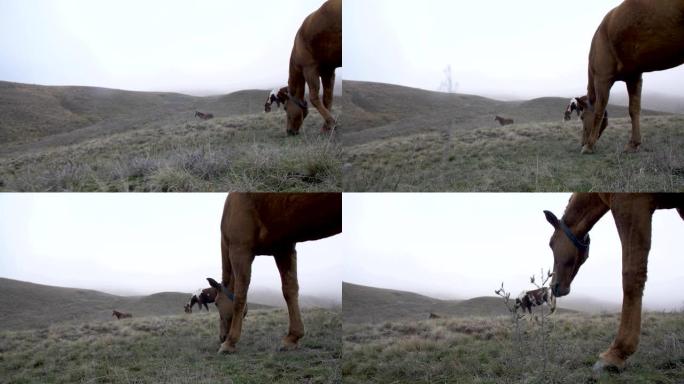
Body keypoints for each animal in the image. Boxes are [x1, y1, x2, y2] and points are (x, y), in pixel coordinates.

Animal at [208, 194, 342, 352]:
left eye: (216, 303)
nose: (222, 337)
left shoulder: (240, 249)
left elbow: (239, 297)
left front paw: (229, 343)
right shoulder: (283, 248)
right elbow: (290, 290)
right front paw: (293, 337)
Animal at [576, 1, 684, 154]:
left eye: (582, 117)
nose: (582, 143)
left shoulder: (602, 79)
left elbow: (598, 111)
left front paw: (589, 146)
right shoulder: (633, 77)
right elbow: (634, 110)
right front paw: (633, 143)